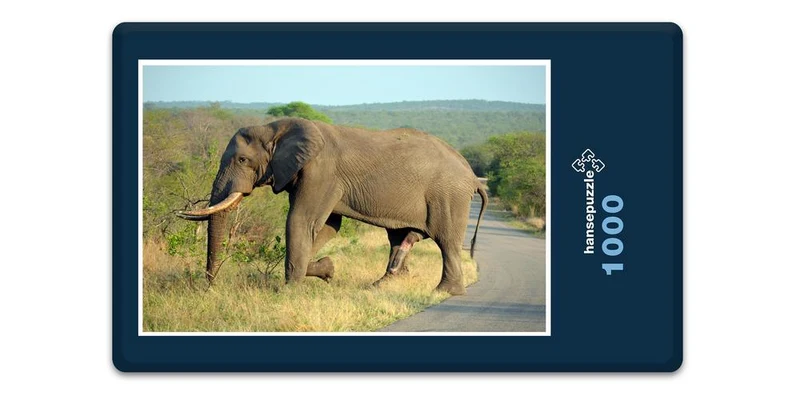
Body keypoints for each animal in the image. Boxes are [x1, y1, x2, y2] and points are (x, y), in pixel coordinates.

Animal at [177, 117, 488, 295]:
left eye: (242, 160)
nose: (209, 289)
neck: (277, 128)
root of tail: (472, 175)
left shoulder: (321, 171)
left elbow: (301, 221)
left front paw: (288, 292)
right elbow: (327, 226)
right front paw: (327, 271)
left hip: (449, 195)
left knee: (446, 240)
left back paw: (445, 293)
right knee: (400, 237)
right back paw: (381, 285)